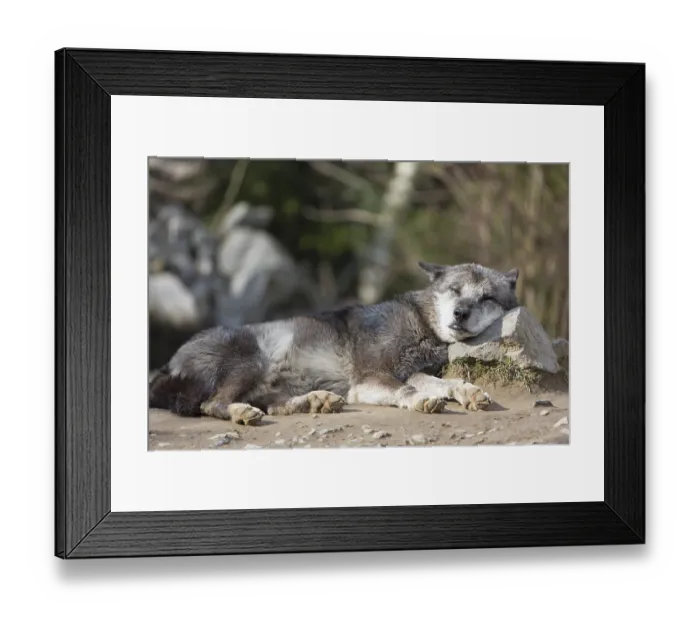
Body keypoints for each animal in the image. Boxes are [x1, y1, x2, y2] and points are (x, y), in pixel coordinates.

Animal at [149, 261, 519, 425]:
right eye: (455, 290)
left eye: (486, 297)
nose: (460, 313)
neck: (420, 322)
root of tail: (166, 366)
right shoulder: (371, 379)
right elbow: (409, 390)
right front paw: (420, 401)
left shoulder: (413, 371)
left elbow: (446, 382)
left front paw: (469, 392)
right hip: (251, 360)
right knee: (213, 405)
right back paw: (243, 412)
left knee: (274, 406)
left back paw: (315, 401)